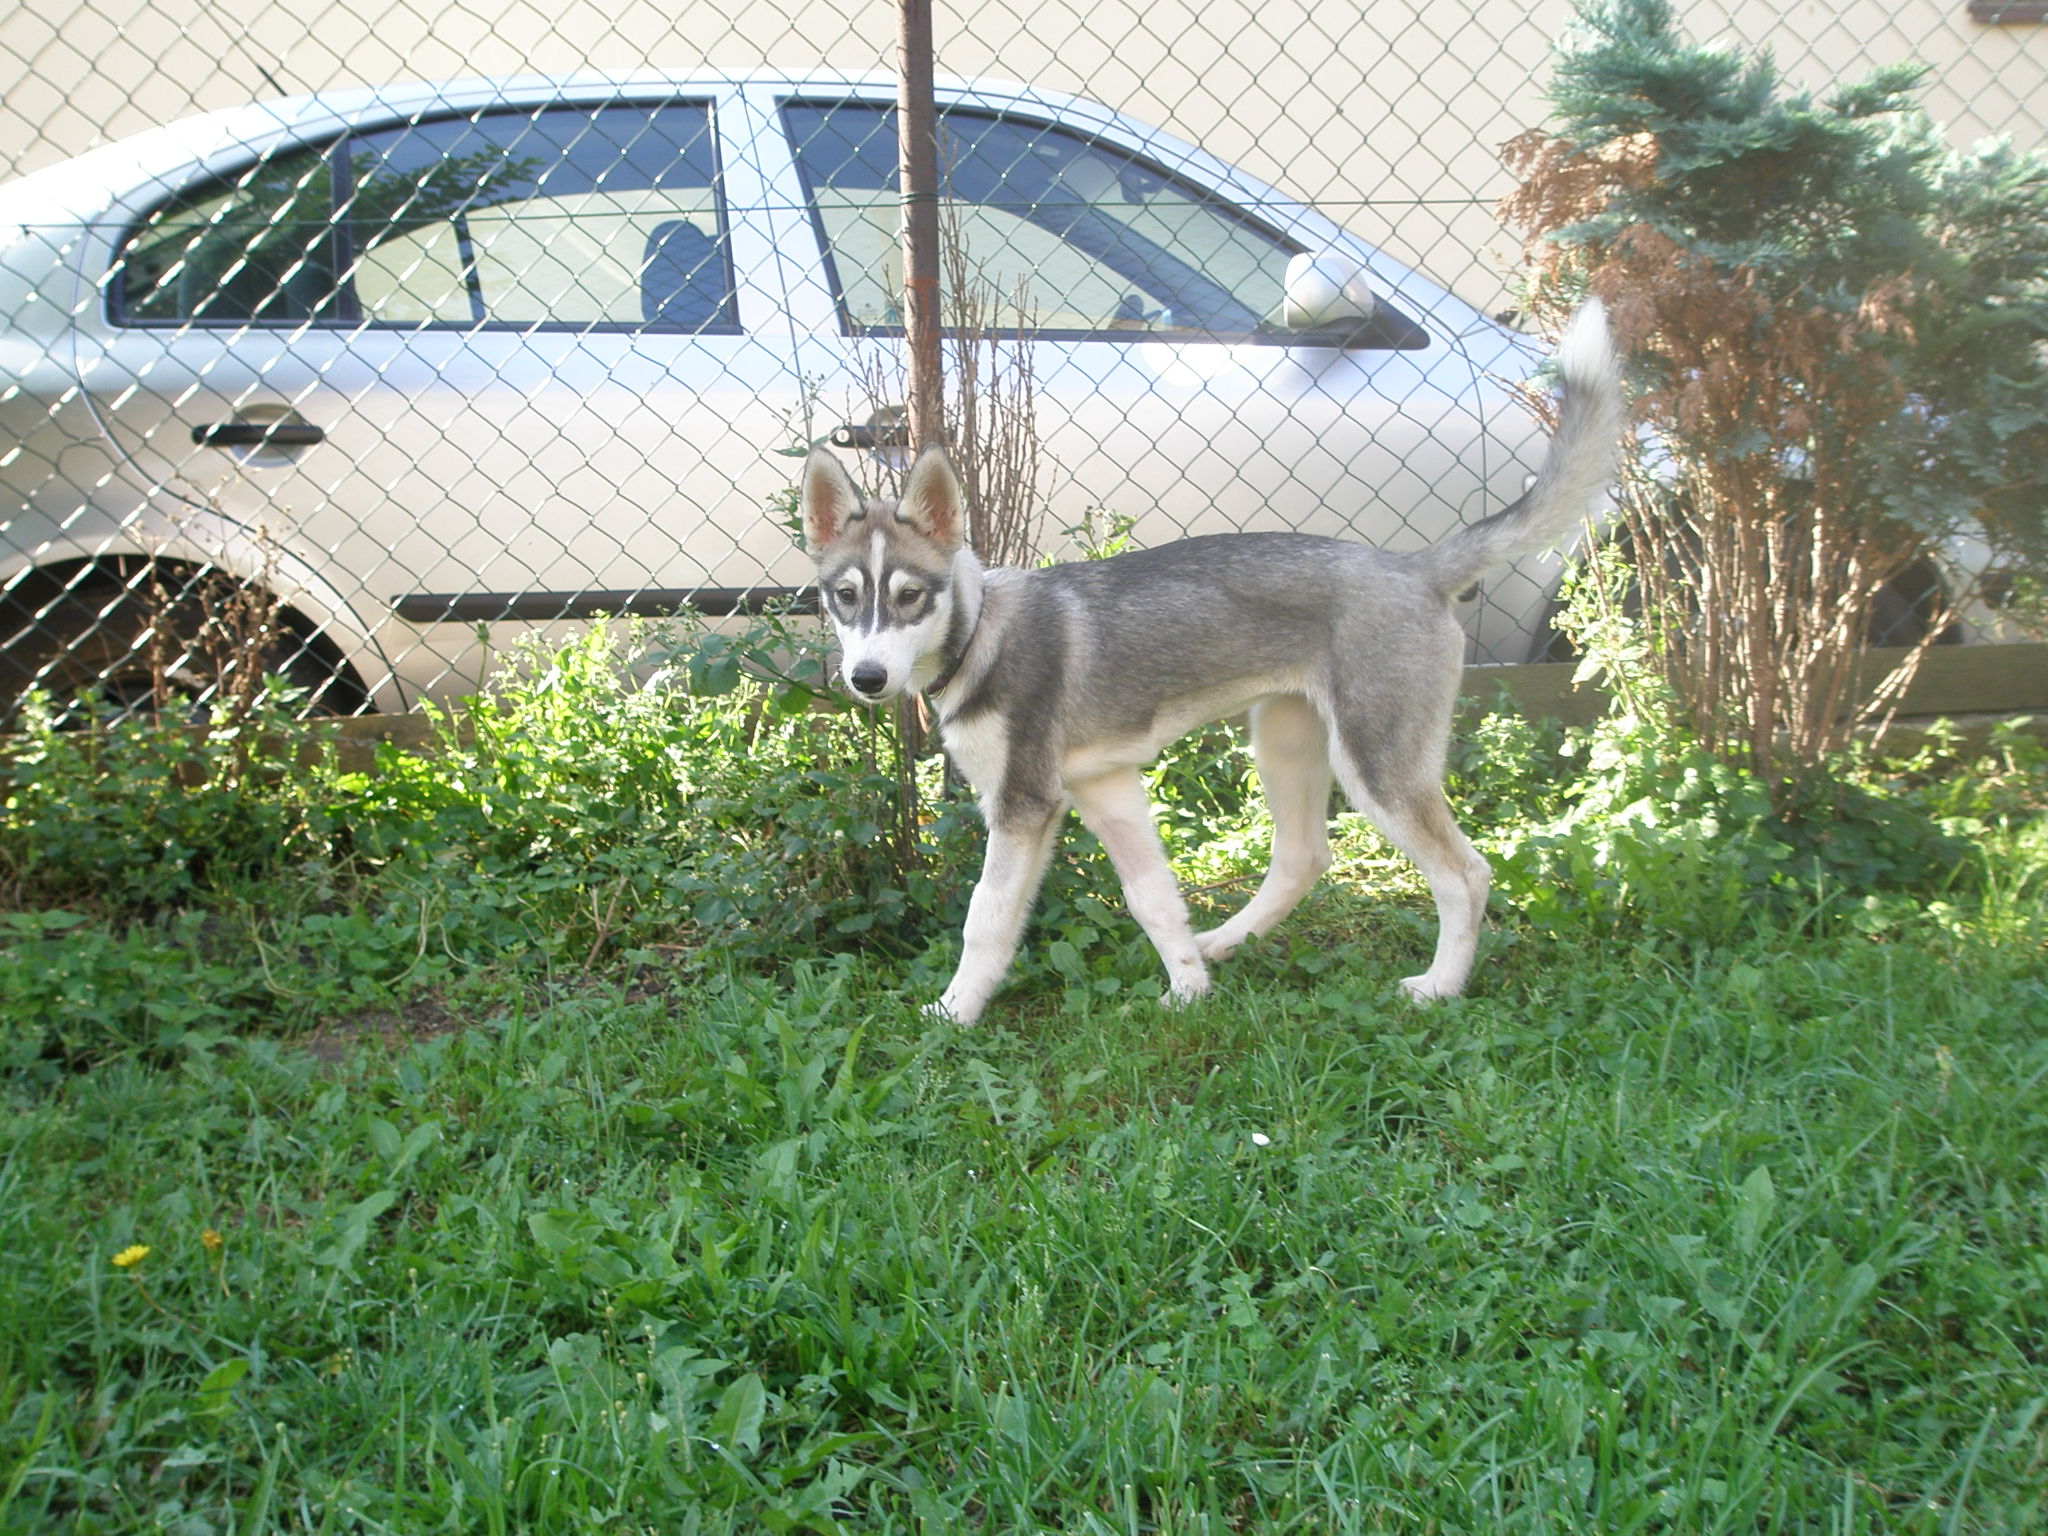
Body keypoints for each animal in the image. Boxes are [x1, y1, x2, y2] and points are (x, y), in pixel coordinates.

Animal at [799, 300, 1623, 1024]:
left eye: (909, 597)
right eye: (844, 597)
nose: (866, 680)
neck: (980, 637)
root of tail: (1413, 567)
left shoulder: (1024, 806)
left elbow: (986, 920)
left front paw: (953, 1012)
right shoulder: (1107, 790)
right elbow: (1153, 901)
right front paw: (1189, 992)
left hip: (1378, 766)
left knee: (1465, 875)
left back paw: (1440, 986)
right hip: (1285, 742)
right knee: (1303, 857)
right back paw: (1224, 942)